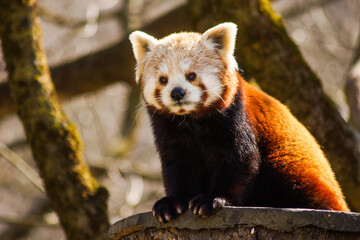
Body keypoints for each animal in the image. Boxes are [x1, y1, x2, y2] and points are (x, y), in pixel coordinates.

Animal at [129, 22, 348, 223]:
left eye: (191, 76)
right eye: (163, 79)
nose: (177, 93)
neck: (192, 119)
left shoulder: (234, 116)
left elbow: (240, 159)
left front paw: (213, 199)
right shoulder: (168, 128)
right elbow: (178, 163)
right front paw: (173, 202)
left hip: (292, 164)